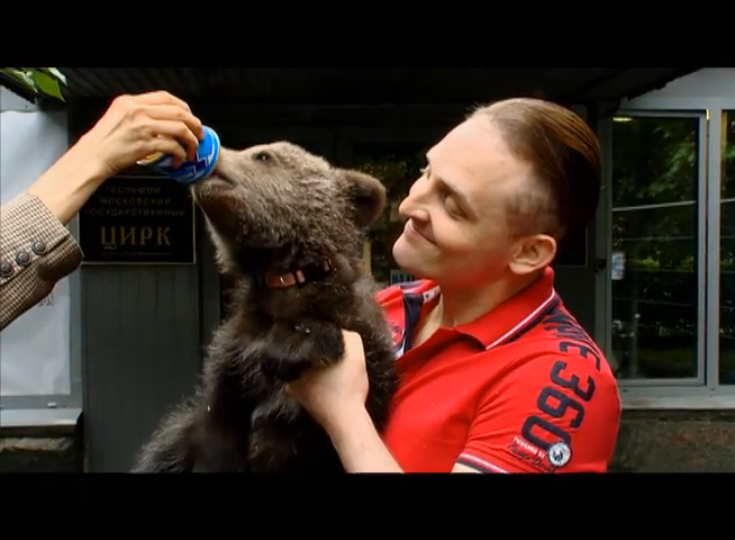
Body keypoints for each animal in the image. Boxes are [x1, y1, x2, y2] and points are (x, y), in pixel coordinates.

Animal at [131, 141, 400, 473]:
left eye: (263, 155)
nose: (212, 163)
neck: (283, 277)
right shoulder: (231, 366)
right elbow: (215, 434)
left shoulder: (364, 342)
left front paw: (292, 345)